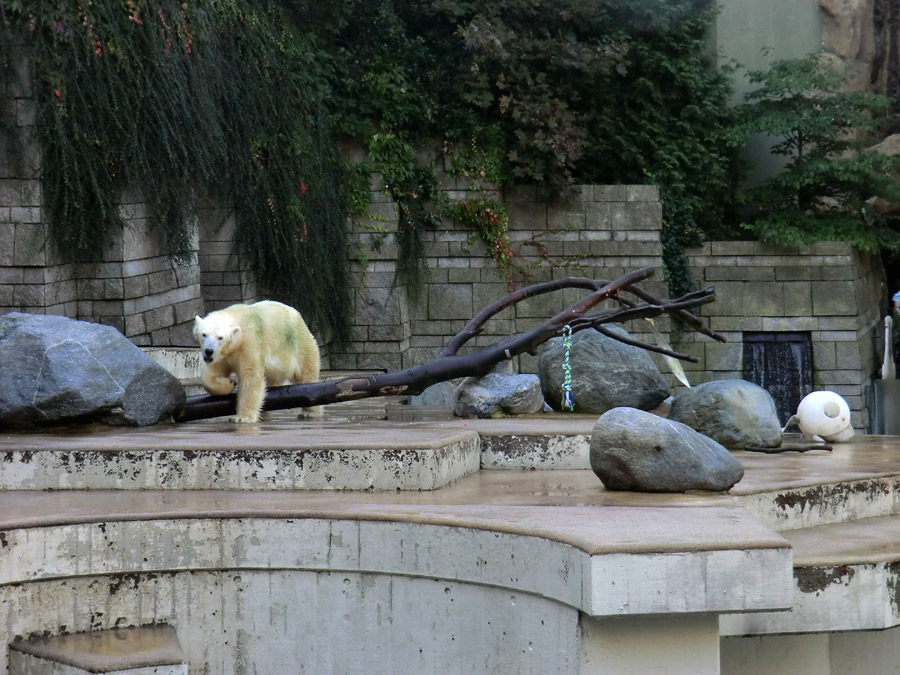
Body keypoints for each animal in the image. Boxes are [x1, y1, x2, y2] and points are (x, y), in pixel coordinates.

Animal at [193, 302, 324, 422]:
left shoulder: (249, 344)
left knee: (307, 376)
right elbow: (211, 374)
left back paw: (309, 412)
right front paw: (230, 383)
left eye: (220, 337)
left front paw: (243, 417)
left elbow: (251, 377)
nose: (209, 351)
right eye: (204, 334)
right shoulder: (221, 355)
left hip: (300, 346)